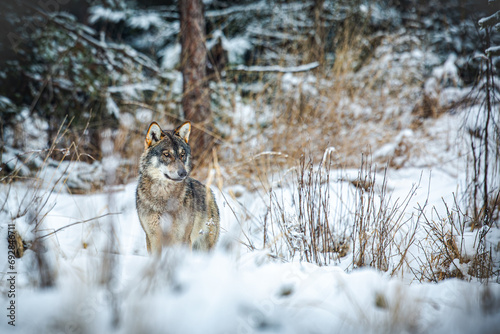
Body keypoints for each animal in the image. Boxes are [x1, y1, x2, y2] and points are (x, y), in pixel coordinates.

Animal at [135, 120, 219, 253]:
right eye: (166, 154)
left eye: (182, 154)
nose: (183, 173)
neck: (164, 196)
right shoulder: (152, 238)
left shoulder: (182, 237)